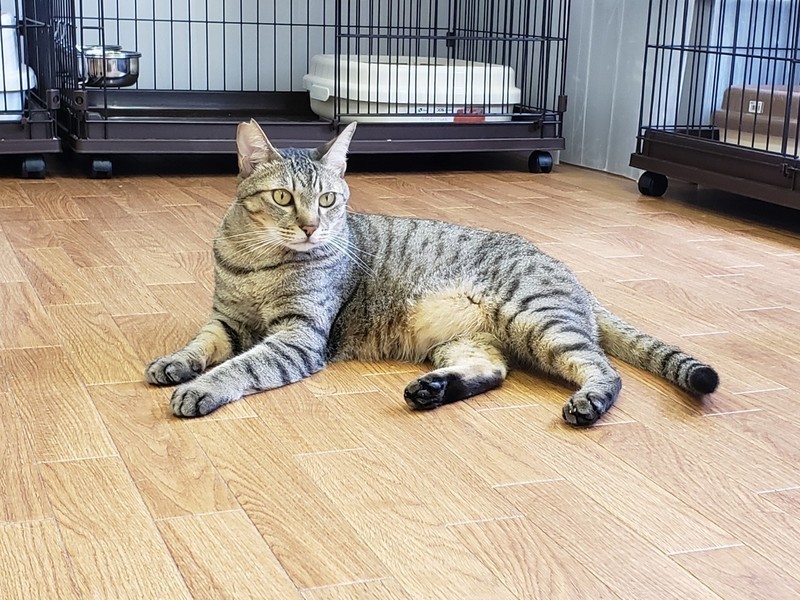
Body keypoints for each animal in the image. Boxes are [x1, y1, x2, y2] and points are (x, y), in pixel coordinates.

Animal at [146, 119, 719, 425]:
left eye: (328, 200)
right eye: (283, 198)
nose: (311, 228)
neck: (257, 261)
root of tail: (572, 275)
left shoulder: (297, 337)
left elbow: (240, 367)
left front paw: (201, 388)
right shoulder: (224, 319)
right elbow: (200, 345)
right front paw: (175, 363)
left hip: (538, 319)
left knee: (604, 369)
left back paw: (590, 401)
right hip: (467, 339)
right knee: (494, 371)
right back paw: (434, 390)